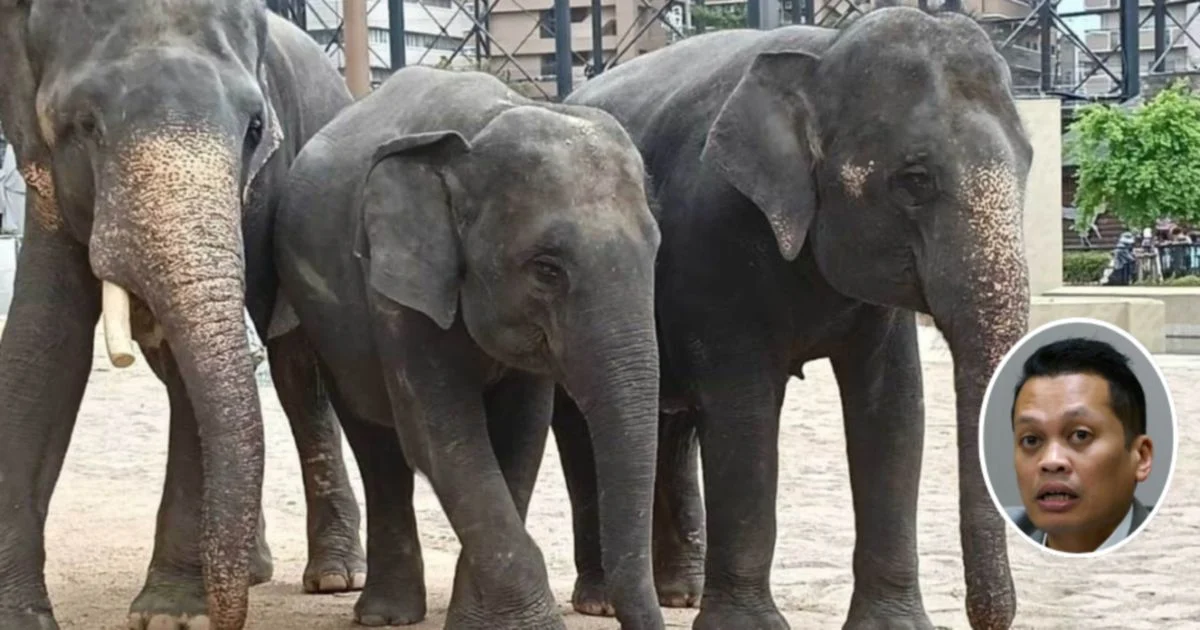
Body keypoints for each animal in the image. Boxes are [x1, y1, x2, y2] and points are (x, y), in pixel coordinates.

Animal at [0, 2, 367, 629]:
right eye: (86, 125)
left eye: (255, 129)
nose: (228, 616)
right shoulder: (45, 179)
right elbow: (41, 348)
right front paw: (20, 618)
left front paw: (170, 616)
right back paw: (250, 569)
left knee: (298, 371)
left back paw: (335, 576)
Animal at [268, 64, 666, 630]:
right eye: (547, 269)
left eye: (656, 251)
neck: (479, 128)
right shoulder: (395, 293)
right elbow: (443, 435)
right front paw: (528, 626)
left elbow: (521, 435)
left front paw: (479, 620)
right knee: (376, 441)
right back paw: (384, 616)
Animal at [551, 6, 1034, 630]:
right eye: (915, 181)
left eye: (1028, 163)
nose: (989, 617)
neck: (822, 54)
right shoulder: (714, 241)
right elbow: (744, 411)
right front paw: (746, 627)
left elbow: (895, 410)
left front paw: (894, 626)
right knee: (582, 426)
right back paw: (600, 600)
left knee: (672, 428)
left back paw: (678, 593)